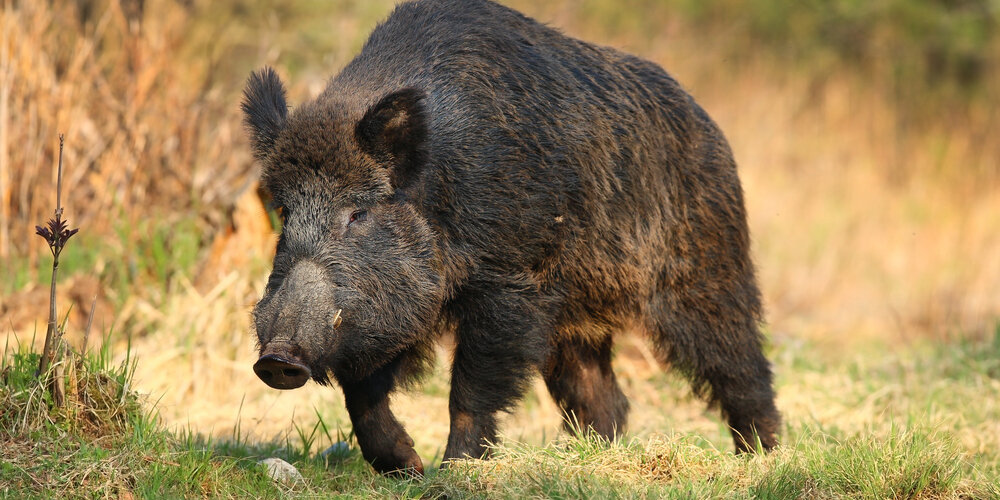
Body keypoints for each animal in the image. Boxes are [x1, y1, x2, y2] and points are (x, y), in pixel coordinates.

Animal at [243, 0, 779, 475]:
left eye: (358, 213)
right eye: (284, 210)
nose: (276, 358)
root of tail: (709, 126)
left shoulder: (510, 284)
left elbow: (470, 390)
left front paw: (454, 471)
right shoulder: (396, 308)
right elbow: (362, 393)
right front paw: (408, 468)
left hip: (707, 272)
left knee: (741, 367)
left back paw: (763, 458)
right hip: (575, 321)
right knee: (601, 395)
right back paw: (589, 460)